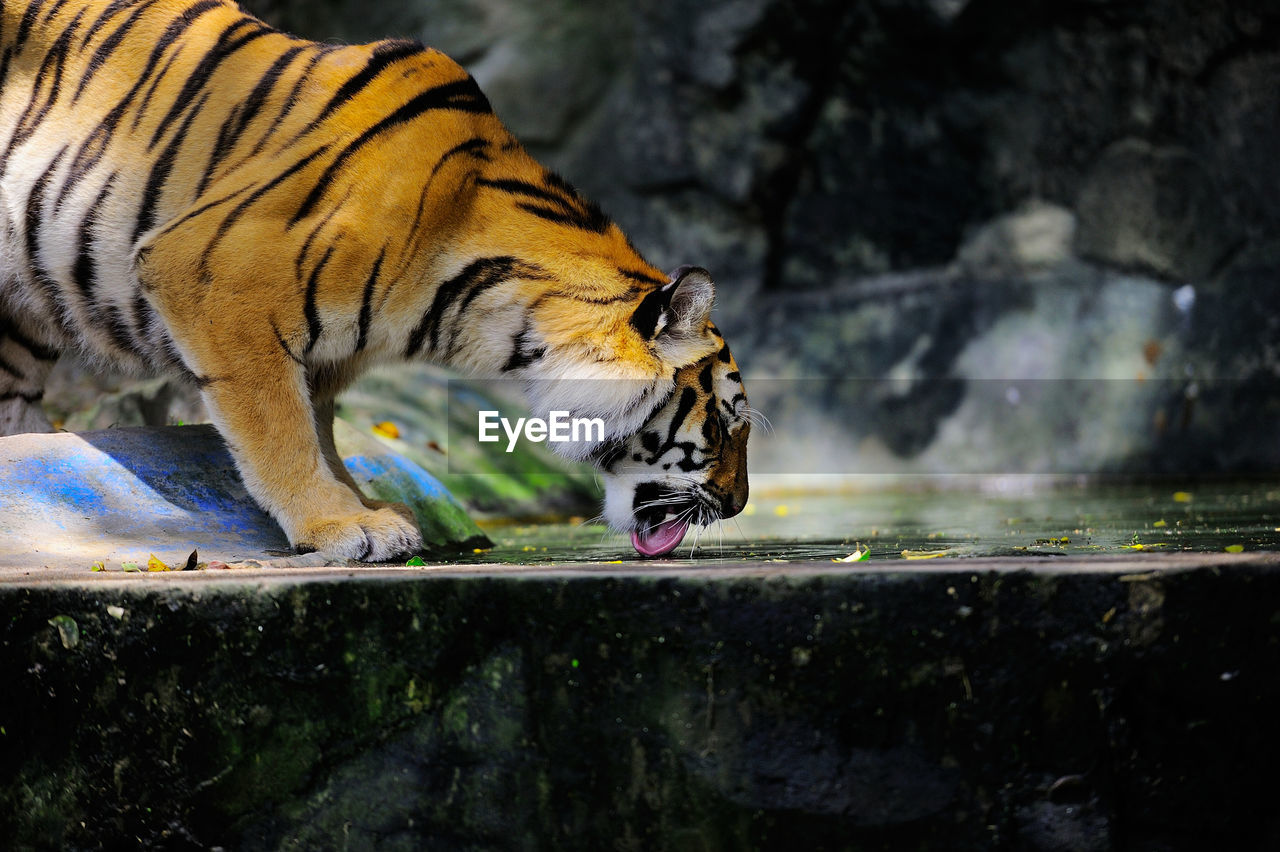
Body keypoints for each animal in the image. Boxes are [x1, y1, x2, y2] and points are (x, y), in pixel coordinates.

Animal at [0, 0, 747, 557]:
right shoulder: (215, 276)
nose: (738, 504)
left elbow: (320, 429)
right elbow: (279, 427)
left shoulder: (325, 350)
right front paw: (339, 525)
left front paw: (365, 508)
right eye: (724, 425)